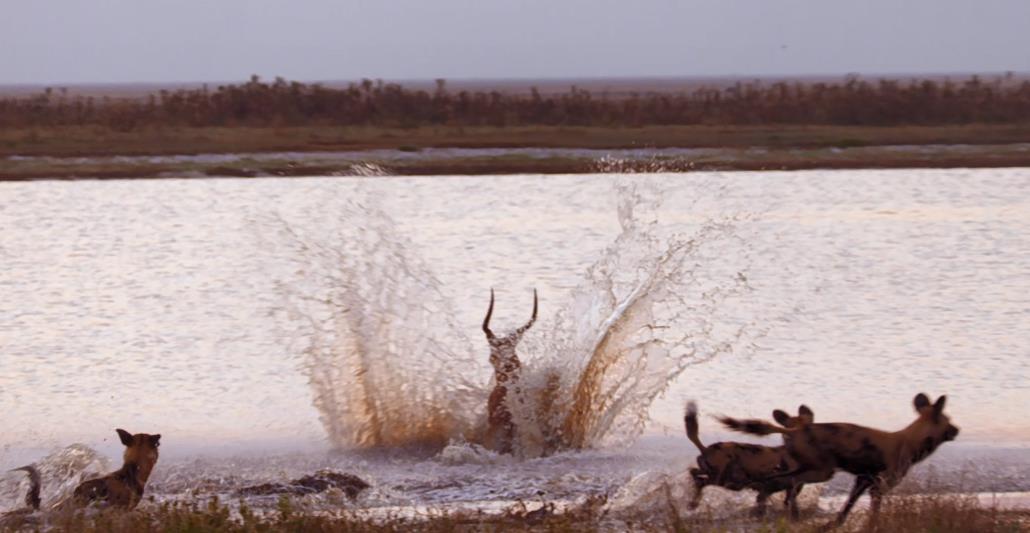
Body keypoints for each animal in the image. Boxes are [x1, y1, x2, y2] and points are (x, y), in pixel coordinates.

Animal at [725, 391, 955, 525]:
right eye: (949, 421)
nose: (957, 430)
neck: (910, 440)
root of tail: (795, 430)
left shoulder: (863, 480)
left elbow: (846, 509)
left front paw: (831, 526)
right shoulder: (879, 486)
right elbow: (873, 513)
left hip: (808, 469)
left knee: (773, 484)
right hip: (822, 471)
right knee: (787, 484)